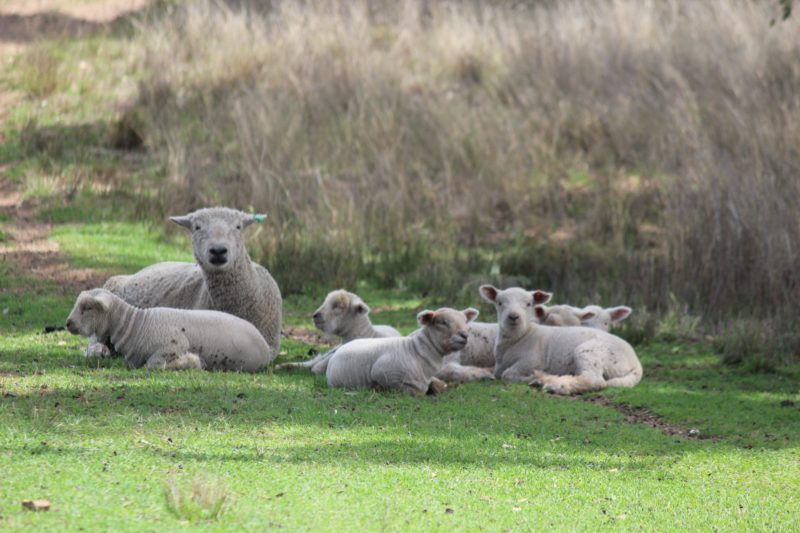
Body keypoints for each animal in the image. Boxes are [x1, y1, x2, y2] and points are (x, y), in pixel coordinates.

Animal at [67, 289, 272, 372]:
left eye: (88, 308)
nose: (68, 323)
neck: (136, 325)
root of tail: (265, 346)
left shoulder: (175, 344)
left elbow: (153, 365)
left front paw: (191, 362)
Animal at [325, 307, 479, 395]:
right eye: (442, 322)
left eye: (465, 321)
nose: (464, 335)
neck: (417, 352)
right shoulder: (382, 371)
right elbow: (415, 391)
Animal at [480, 285, 642, 395]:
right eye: (499, 303)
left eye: (528, 304)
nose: (513, 317)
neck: (521, 337)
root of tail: (635, 361)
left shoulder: (533, 361)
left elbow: (508, 374)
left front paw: (536, 377)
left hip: (590, 352)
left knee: (594, 380)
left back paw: (556, 385)